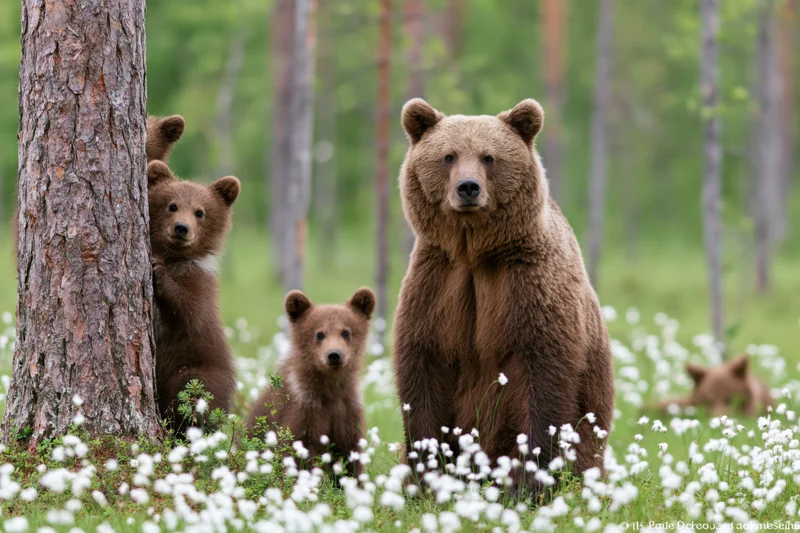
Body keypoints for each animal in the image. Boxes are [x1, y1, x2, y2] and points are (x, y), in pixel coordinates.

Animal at [146, 160, 240, 433]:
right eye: (172, 205)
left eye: (200, 212)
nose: (181, 228)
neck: (175, 258)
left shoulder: (200, 283)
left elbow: (189, 310)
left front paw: (157, 270)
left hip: (197, 368)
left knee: (191, 395)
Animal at [247, 288, 375, 477]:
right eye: (319, 334)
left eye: (346, 332)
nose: (334, 354)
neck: (330, 389)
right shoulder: (304, 411)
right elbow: (298, 452)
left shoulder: (346, 411)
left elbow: (350, 454)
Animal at [392, 98, 615, 494]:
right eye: (448, 156)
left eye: (489, 157)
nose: (468, 187)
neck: (474, 253)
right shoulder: (438, 284)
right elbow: (423, 368)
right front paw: (426, 472)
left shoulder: (529, 287)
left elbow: (544, 376)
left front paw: (531, 480)